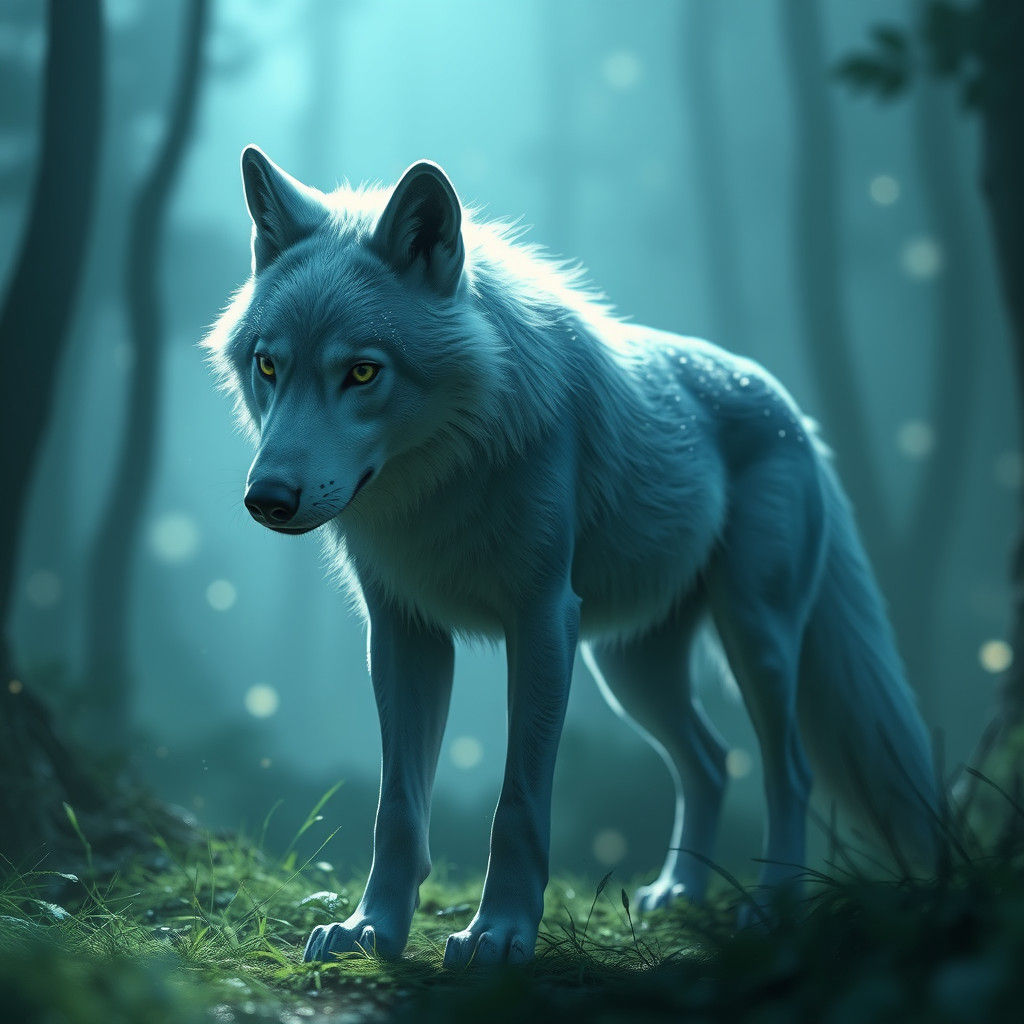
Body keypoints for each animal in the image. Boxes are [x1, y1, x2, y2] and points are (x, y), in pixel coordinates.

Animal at [204, 146, 938, 966]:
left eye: (361, 371)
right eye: (269, 367)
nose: (266, 499)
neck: (443, 478)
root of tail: (794, 413)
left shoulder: (543, 619)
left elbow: (518, 802)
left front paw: (497, 934)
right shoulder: (403, 633)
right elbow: (397, 806)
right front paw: (372, 930)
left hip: (756, 639)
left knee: (790, 773)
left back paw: (772, 906)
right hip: (630, 670)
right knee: (713, 762)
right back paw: (678, 893)